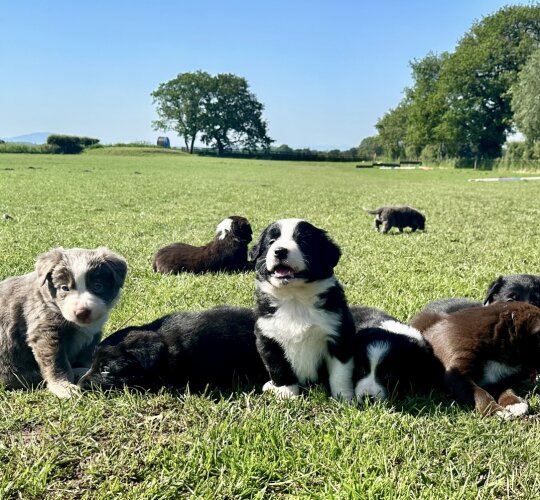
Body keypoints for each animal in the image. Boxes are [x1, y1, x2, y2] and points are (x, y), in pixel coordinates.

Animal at [0, 247, 127, 398]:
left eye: (97, 286)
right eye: (64, 288)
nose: (82, 312)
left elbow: (88, 353)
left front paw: (90, 370)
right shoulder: (45, 331)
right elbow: (56, 363)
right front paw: (63, 387)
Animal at [250, 221, 358, 400]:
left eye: (303, 241)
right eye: (271, 242)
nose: (279, 251)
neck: (295, 299)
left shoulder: (339, 336)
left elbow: (340, 373)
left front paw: (343, 398)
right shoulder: (268, 336)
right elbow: (278, 368)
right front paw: (286, 394)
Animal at [410, 300, 540, 418]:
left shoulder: (497, 378)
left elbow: (506, 389)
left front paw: (515, 403)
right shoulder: (457, 374)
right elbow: (479, 393)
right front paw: (495, 411)